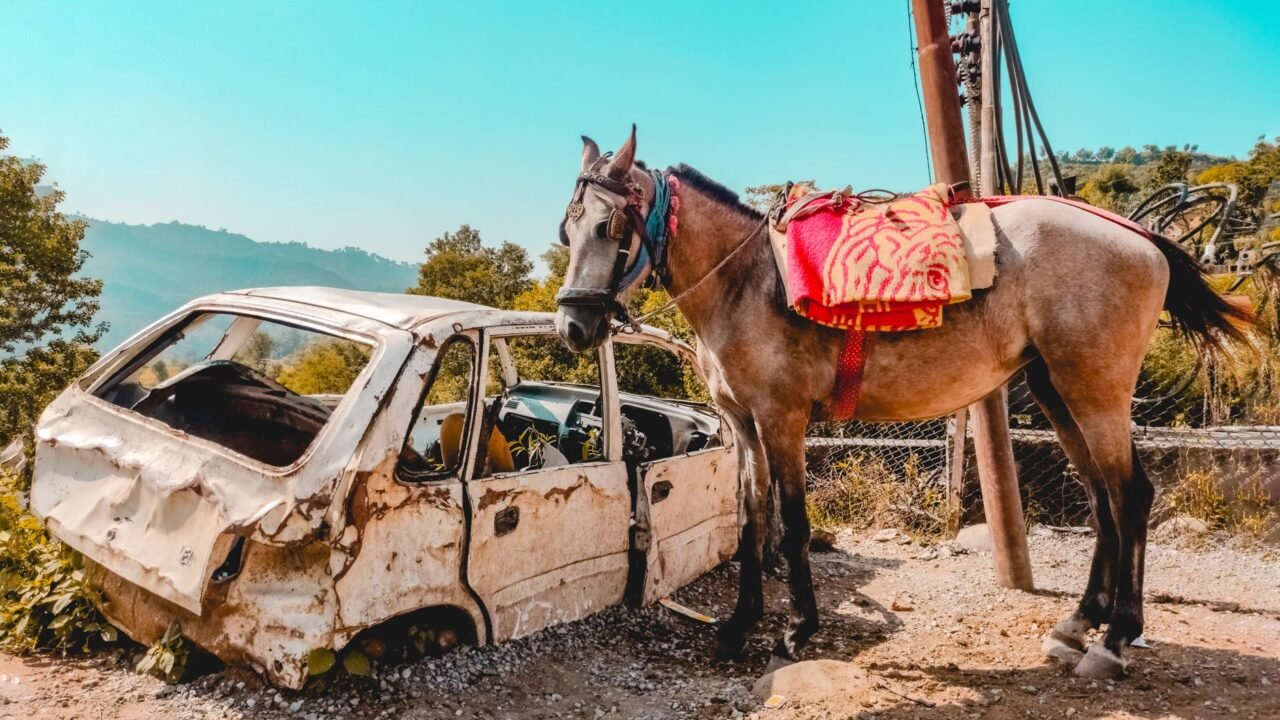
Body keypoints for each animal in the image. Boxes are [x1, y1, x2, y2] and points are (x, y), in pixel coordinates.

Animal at [553, 127, 1253, 679]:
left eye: (610, 225)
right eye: (567, 227)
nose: (573, 327)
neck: (745, 281)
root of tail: (1141, 237)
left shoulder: (782, 421)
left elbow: (793, 523)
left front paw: (797, 629)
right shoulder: (744, 426)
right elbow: (752, 520)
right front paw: (737, 626)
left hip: (1096, 390)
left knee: (1129, 496)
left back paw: (1115, 639)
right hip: (1060, 392)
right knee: (1101, 498)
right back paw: (1078, 623)